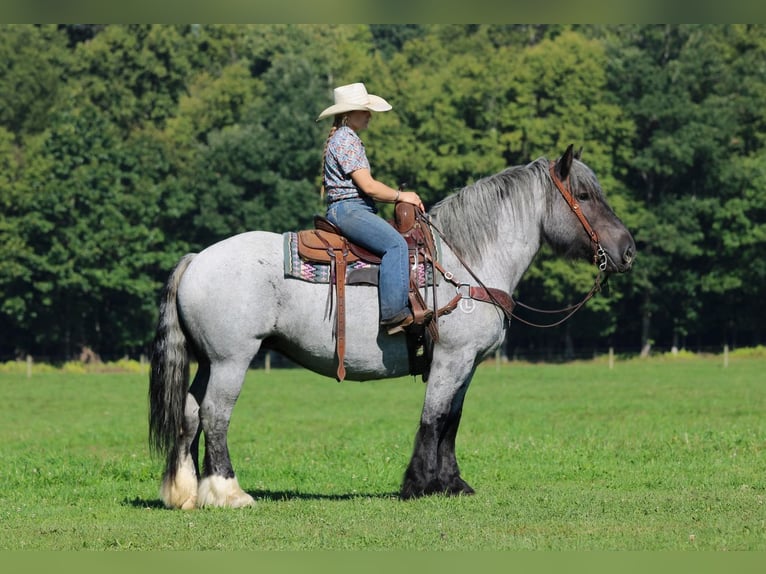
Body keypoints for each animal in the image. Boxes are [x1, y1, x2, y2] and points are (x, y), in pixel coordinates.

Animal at [149, 145, 636, 509]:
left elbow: (452, 420)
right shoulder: (452, 359)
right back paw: (229, 492)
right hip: (233, 359)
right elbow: (433, 417)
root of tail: (196, 259)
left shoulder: (466, 363)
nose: (627, 250)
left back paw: (185, 493)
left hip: (209, 361)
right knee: (215, 415)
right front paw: (418, 484)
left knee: (190, 414)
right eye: (584, 195)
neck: (464, 263)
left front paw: (451, 484)